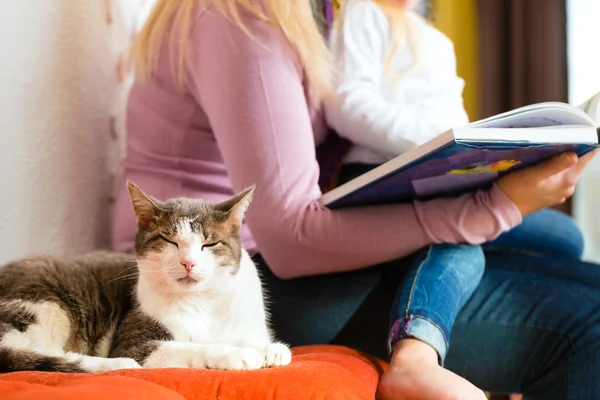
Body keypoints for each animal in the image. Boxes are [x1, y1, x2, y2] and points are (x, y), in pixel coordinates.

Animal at [0, 183, 290, 374]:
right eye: (169, 241)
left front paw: (269, 349)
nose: (188, 262)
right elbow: (189, 347)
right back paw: (115, 365)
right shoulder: (135, 342)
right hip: (44, 303)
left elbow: (253, 338)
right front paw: (235, 353)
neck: (201, 300)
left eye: (209, 244)